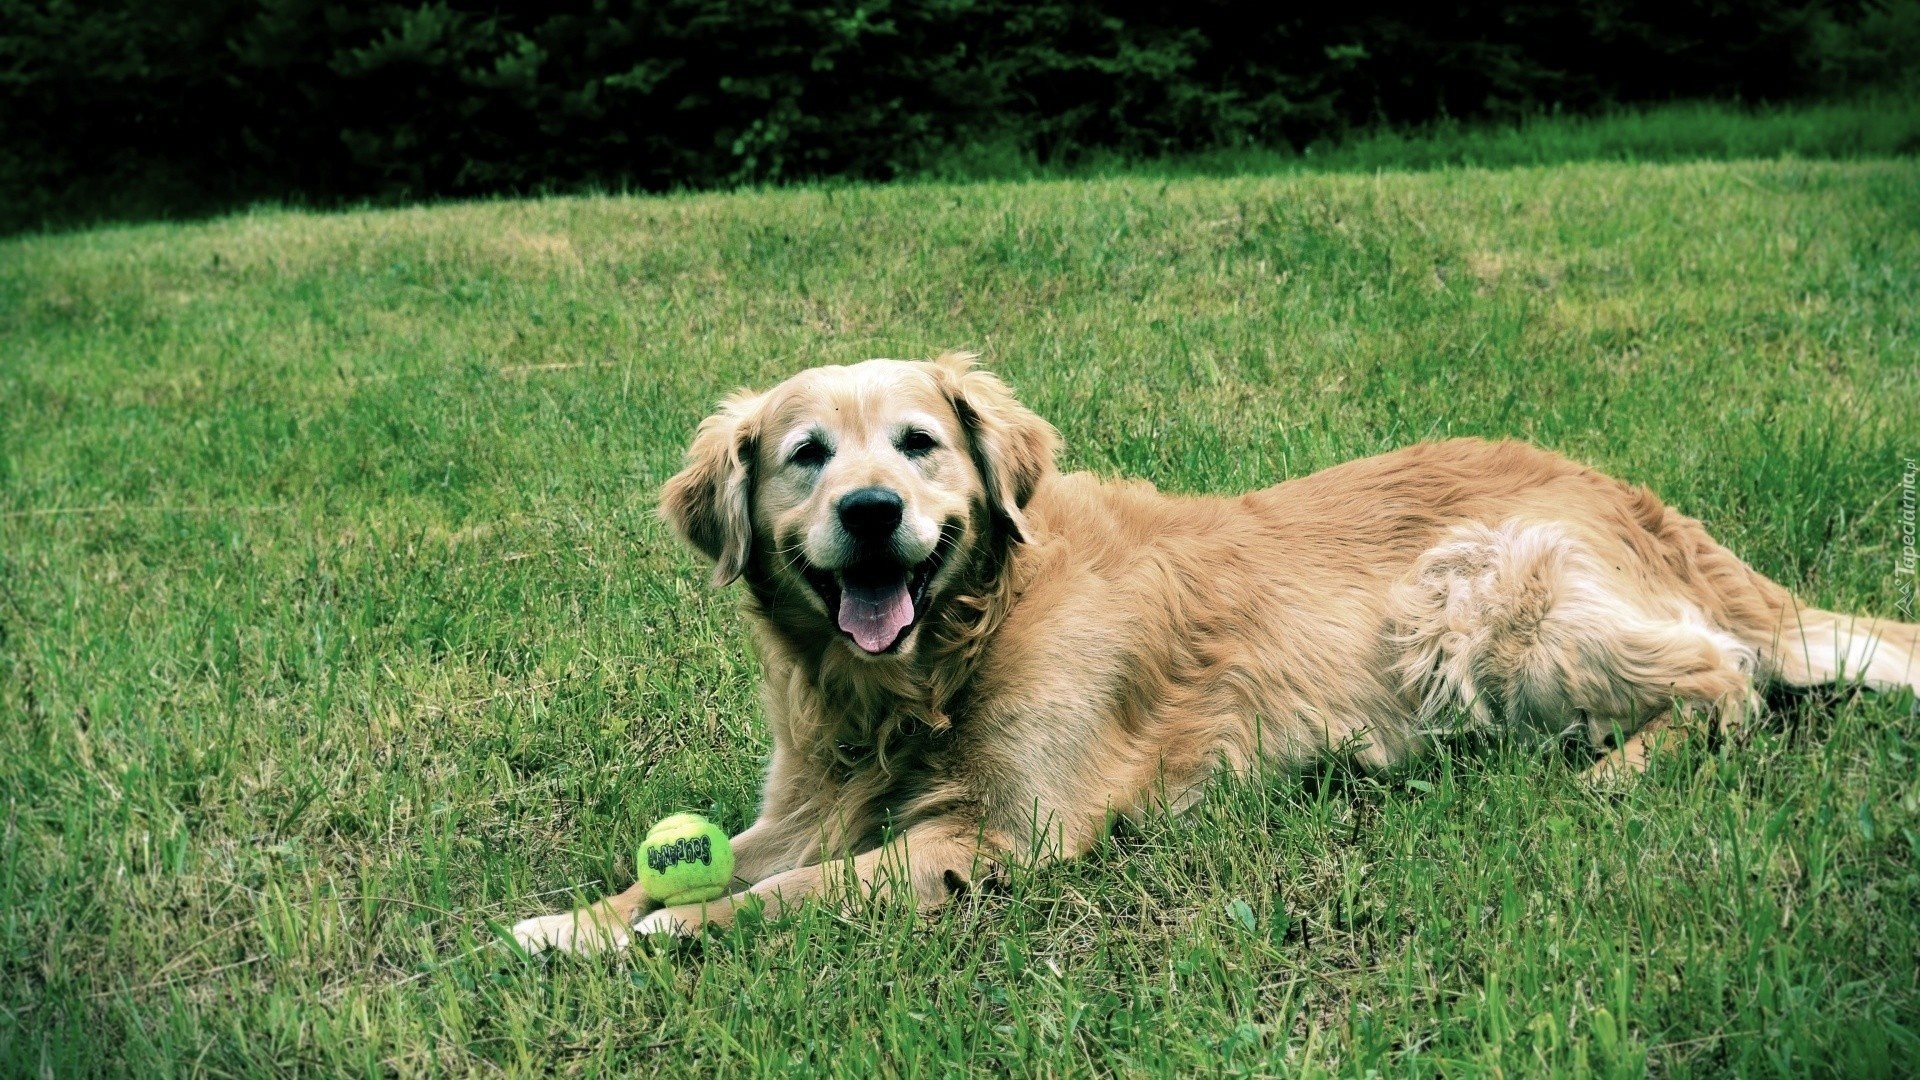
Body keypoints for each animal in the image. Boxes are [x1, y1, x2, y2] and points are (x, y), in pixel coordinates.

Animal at [510, 349, 1920, 945]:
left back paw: (1619, 769)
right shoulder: (807, 806)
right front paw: (564, 922)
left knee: (1727, 686)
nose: (869, 513)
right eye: (807, 455)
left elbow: (781, 897)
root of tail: (1631, 494)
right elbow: (688, 869)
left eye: (917, 443)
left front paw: (640, 942)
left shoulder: (1002, 835)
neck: (941, 661)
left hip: (1472, 599)